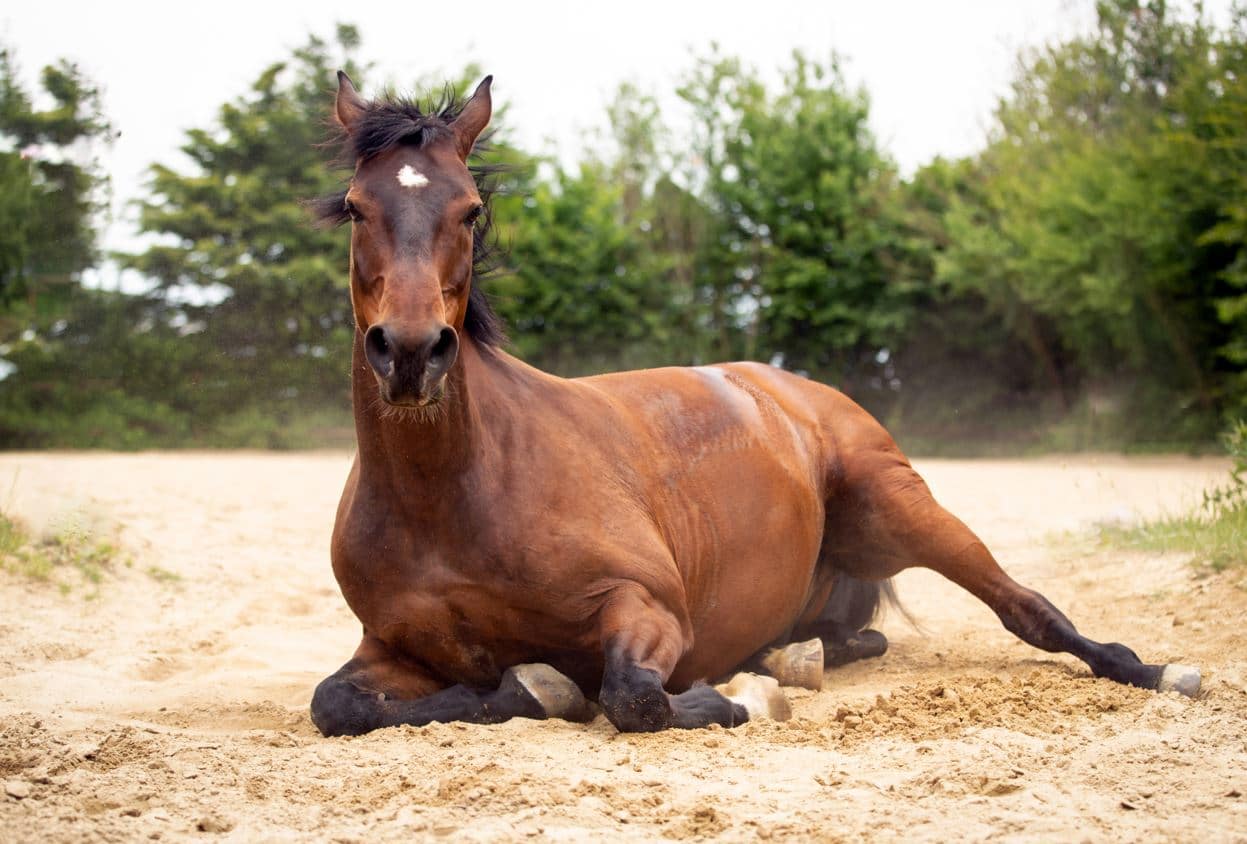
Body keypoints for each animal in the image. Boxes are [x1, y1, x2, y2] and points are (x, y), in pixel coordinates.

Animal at [306, 74, 1202, 738]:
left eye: (470, 210)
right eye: (355, 206)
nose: (411, 352)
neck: (453, 497)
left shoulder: (647, 607)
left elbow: (632, 695)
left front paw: (721, 698)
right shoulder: (390, 647)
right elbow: (338, 703)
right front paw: (532, 689)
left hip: (903, 506)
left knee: (1027, 609)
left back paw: (1156, 670)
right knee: (848, 639)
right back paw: (786, 660)